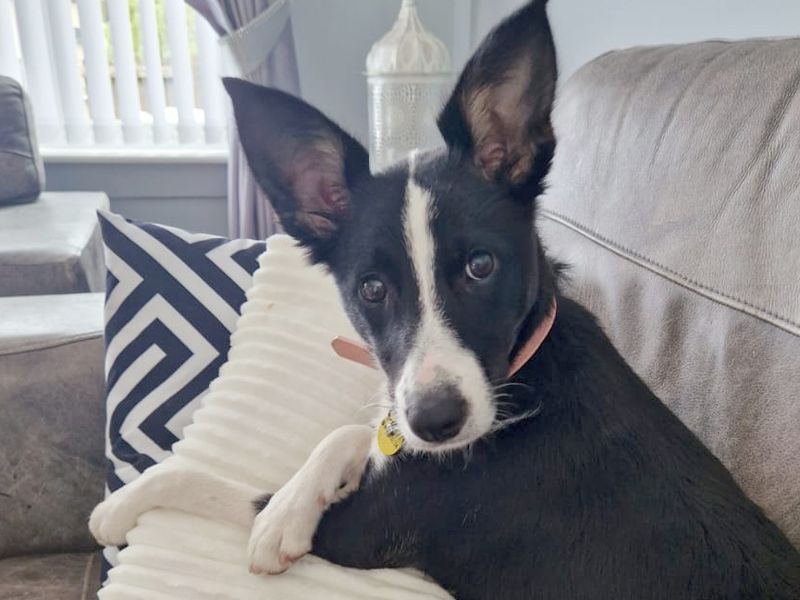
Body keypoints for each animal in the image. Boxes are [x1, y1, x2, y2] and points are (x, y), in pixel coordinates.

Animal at [89, 2, 800, 596]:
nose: (437, 423)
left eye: (481, 266)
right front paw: (299, 492)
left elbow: (212, 482)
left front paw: (257, 516)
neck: (524, 375)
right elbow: (357, 431)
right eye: (372, 288)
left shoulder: (360, 532)